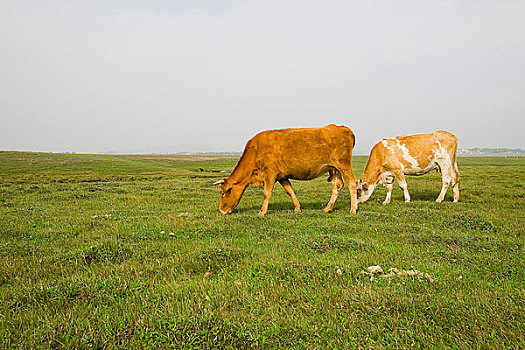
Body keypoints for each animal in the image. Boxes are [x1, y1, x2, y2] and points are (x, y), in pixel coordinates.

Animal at [213, 124, 356, 215]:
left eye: (223, 194)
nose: (222, 211)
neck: (256, 150)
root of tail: (342, 128)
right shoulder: (282, 176)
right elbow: (290, 191)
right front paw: (297, 208)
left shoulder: (270, 173)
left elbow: (266, 193)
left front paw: (262, 211)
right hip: (333, 168)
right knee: (337, 185)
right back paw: (328, 208)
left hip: (344, 165)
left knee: (352, 183)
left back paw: (353, 209)